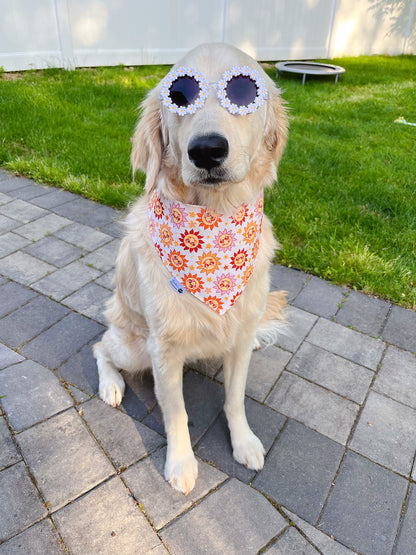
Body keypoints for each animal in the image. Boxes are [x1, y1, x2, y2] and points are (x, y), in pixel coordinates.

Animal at [94, 43, 290, 496]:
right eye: (179, 95)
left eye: (243, 91)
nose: (207, 150)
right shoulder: (163, 350)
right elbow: (176, 413)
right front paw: (181, 464)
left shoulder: (239, 336)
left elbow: (235, 399)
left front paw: (244, 441)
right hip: (133, 346)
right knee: (100, 347)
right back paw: (111, 384)